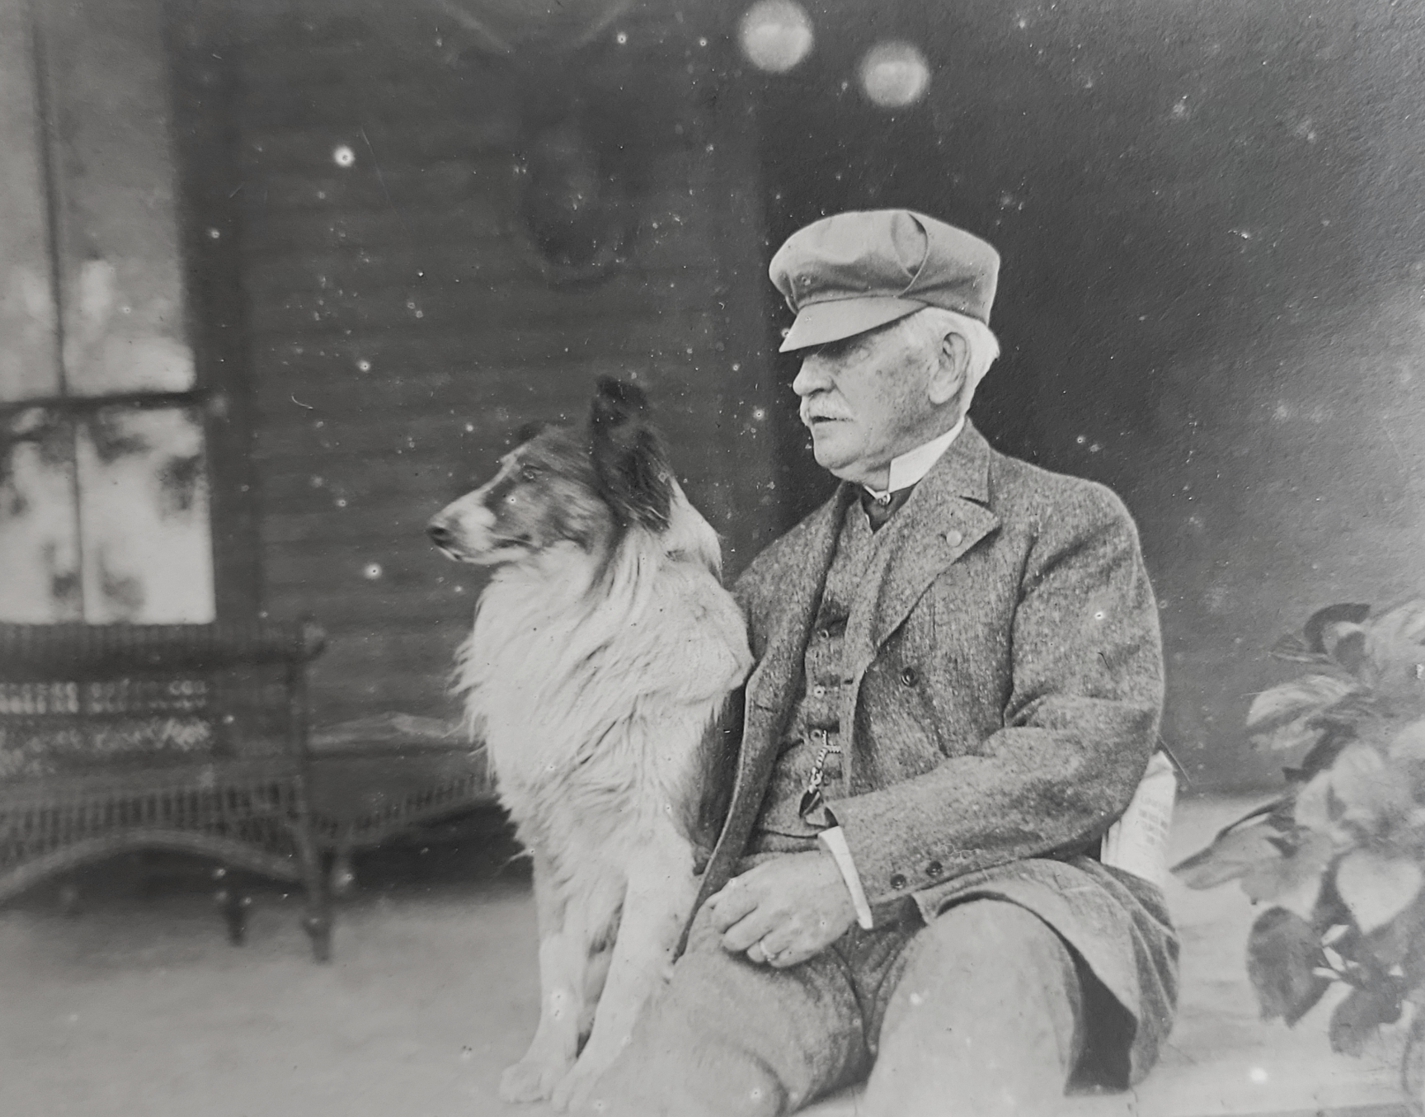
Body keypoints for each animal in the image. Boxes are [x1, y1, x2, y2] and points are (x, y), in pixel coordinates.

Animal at [424, 381, 752, 1105]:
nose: (434, 529)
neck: (586, 615)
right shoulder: (555, 843)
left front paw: (596, 1075)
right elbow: (557, 960)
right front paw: (545, 1064)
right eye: (502, 468)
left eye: (532, 475)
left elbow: (629, 971)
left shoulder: (661, 852)